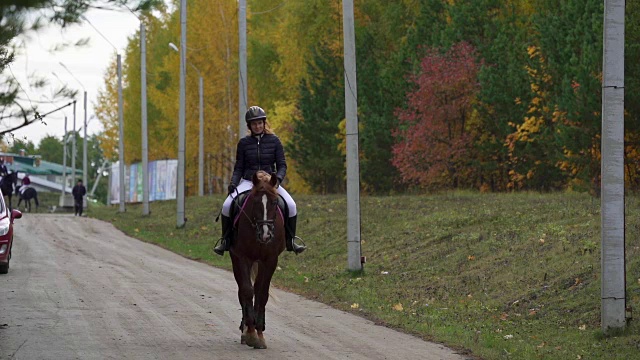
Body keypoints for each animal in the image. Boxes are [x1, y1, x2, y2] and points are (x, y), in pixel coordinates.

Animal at [228, 171, 282, 348]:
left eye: (274, 202)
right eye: (256, 202)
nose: (266, 235)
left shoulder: (270, 260)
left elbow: (261, 293)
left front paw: (259, 333)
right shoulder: (242, 257)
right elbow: (247, 291)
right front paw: (251, 333)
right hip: (236, 260)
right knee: (242, 291)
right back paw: (245, 329)